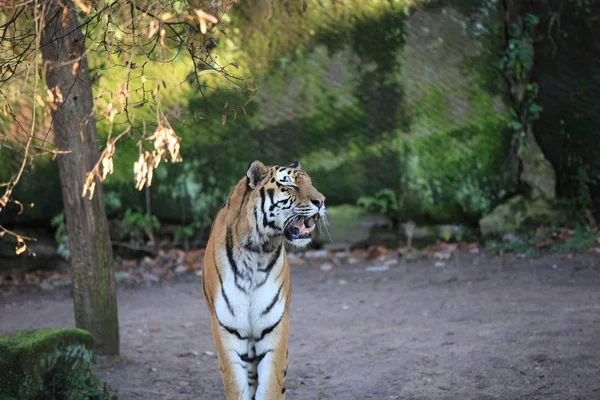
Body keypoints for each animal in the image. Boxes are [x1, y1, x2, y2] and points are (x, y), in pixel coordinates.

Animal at [202, 160, 326, 400]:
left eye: (311, 183)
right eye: (290, 185)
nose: (322, 201)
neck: (257, 250)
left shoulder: (275, 325)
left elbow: (270, 386)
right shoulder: (226, 329)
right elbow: (236, 385)